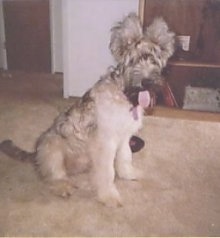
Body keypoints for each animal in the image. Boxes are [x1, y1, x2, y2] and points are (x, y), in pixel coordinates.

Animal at [0, 12, 175, 206]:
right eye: (134, 61)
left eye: (153, 61)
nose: (147, 82)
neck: (123, 94)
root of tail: (36, 155)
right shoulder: (106, 143)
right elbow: (108, 172)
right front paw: (109, 196)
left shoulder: (124, 138)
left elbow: (125, 158)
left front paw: (128, 174)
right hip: (51, 146)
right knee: (53, 176)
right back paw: (63, 187)